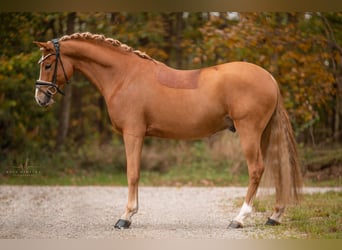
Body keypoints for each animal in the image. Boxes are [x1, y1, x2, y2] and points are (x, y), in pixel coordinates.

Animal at [34, 32, 302, 229]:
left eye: (48, 64)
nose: (40, 98)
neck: (124, 76)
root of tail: (269, 77)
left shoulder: (133, 134)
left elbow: (132, 174)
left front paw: (126, 217)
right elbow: (136, 173)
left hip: (249, 131)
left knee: (256, 169)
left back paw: (239, 219)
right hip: (264, 133)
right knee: (277, 168)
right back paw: (275, 216)